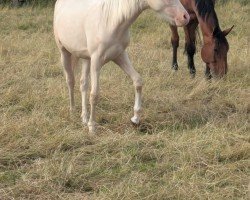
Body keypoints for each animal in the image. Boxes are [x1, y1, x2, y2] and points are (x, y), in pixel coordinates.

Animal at [53, 0, 189, 133]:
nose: (185, 17)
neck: (112, 21)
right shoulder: (96, 61)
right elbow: (94, 94)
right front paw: (92, 127)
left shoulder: (119, 55)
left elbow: (137, 81)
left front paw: (135, 119)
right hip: (64, 52)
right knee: (70, 81)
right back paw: (72, 112)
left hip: (86, 59)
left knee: (83, 84)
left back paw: (84, 118)